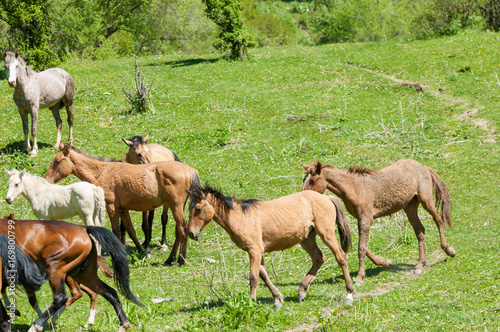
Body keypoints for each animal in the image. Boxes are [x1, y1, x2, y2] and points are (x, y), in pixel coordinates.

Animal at [0, 218, 143, 332]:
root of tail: (84, 228)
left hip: (57, 270)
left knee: (62, 298)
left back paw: (37, 326)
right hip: (84, 274)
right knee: (109, 292)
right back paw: (123, 325)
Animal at [46, 142, 200, 264]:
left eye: (57, 161)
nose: (47, 179)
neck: (103, 172)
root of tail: (190, 170)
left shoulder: (112, 207)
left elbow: (117, 230)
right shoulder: (123, 210)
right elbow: (131, 231)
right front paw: (142, 252)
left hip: (175, 206)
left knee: (182, 228)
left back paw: (179, 259)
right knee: (179, 230)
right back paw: (171, 258)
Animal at [188, 185, 356, 308]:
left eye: (198, 208)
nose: (191, 233)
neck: (241, 217)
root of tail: (326, 197)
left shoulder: (255, 251)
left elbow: (254, 277)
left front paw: (251, 302)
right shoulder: (257, 252)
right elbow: (264, 275)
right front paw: (277, 299)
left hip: (326, 233)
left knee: (340, 256)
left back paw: (349, 294)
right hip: (307, 238)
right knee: (319, 258)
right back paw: (302, 291)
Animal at [300, 160, 458, 284]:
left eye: (313, 181)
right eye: (304, 180)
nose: (303, 196)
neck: (356, 188)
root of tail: (424, 166)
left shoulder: (366, 220)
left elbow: (361, 248)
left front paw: (359, 278)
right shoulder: (362, 219)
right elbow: (363, 247)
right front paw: (385, 262)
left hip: (425, 199)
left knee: (438, 217)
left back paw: (449, 250)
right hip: (410, 206)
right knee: (420, 230)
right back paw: (420, 265)